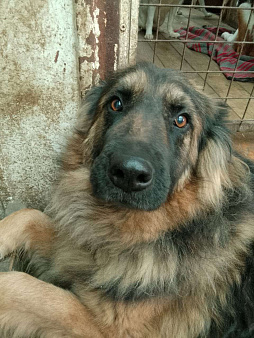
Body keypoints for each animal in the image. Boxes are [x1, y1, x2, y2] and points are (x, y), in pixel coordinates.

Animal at [0, 62, 254, 336]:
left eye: (181, 120)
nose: (129, 174)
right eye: (116, 103)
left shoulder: (110, 329)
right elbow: (29, 215)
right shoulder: (75, 247)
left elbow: (18, 284)